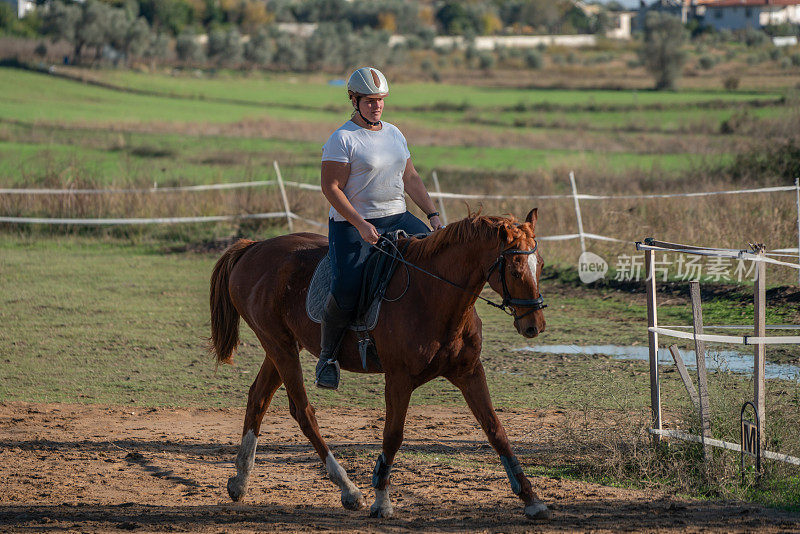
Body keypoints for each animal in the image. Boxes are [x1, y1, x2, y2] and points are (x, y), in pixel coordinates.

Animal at [208, 209, 552, 520]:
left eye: (540, 266)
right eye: (516, 270)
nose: (534, 325)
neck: (432, 294)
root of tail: (253, 247)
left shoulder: (469, 373)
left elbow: (496, 431)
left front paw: (531, 500)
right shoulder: (398, 379)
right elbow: (393, 435)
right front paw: (382, 500)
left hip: (282, 346)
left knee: (258, 397)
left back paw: (240, 480)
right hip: (279, 346)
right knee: (302, 412)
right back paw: (348, 490)